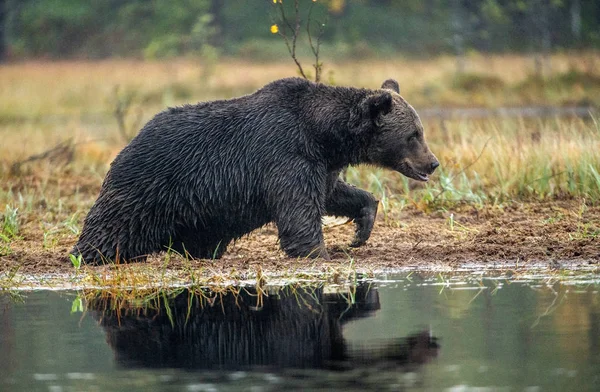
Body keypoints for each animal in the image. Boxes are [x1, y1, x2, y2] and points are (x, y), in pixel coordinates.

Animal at [72, 77, 438, 264]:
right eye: (414, 134)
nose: (432, 163)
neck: (323, 133)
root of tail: (129, 143)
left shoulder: (320, 163)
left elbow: (332, 194)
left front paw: (360, 229)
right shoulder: (284, 154)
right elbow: (298, 212)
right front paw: (319, 251)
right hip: (149, 185)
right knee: (110, 230)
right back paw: (86, 255)